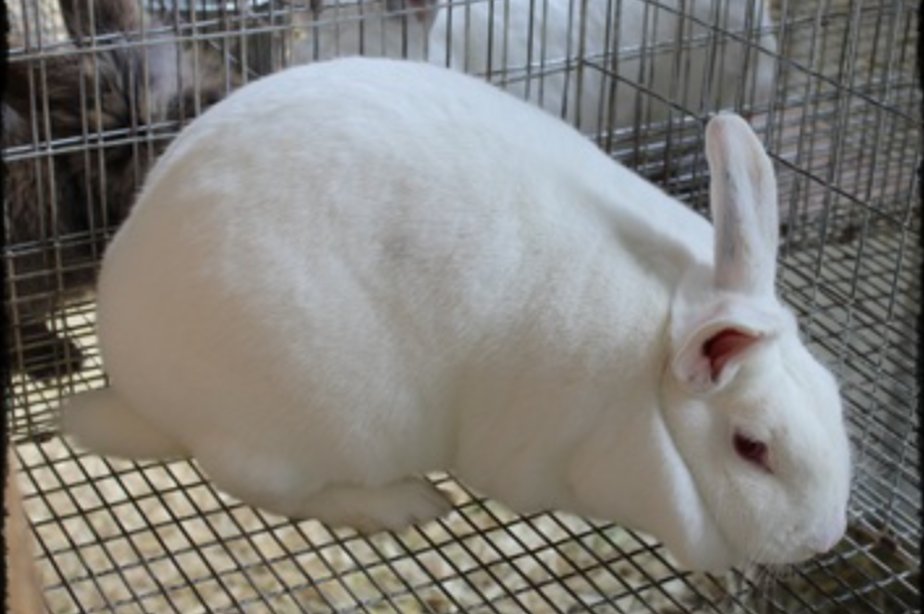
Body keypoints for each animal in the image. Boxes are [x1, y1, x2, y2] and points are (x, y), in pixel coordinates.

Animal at [61, 58, 851, 572]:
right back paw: (405, 504)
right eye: (752, 449)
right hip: (327, 419)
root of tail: (140, 392)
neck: (655, 363)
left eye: (836, 396)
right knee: (270, 484)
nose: (824, 540)